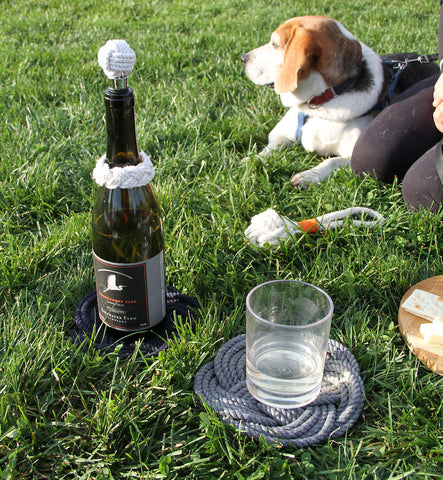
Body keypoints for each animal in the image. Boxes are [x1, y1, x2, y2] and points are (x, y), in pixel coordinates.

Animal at [243, 15, 440, 188]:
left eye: (275, 44)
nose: (243, 58)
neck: (320, 106)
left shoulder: (353, 156)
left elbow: (331, 161)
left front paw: (310, 175)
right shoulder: (282, 133)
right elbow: (270, 148)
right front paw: (251, 160)